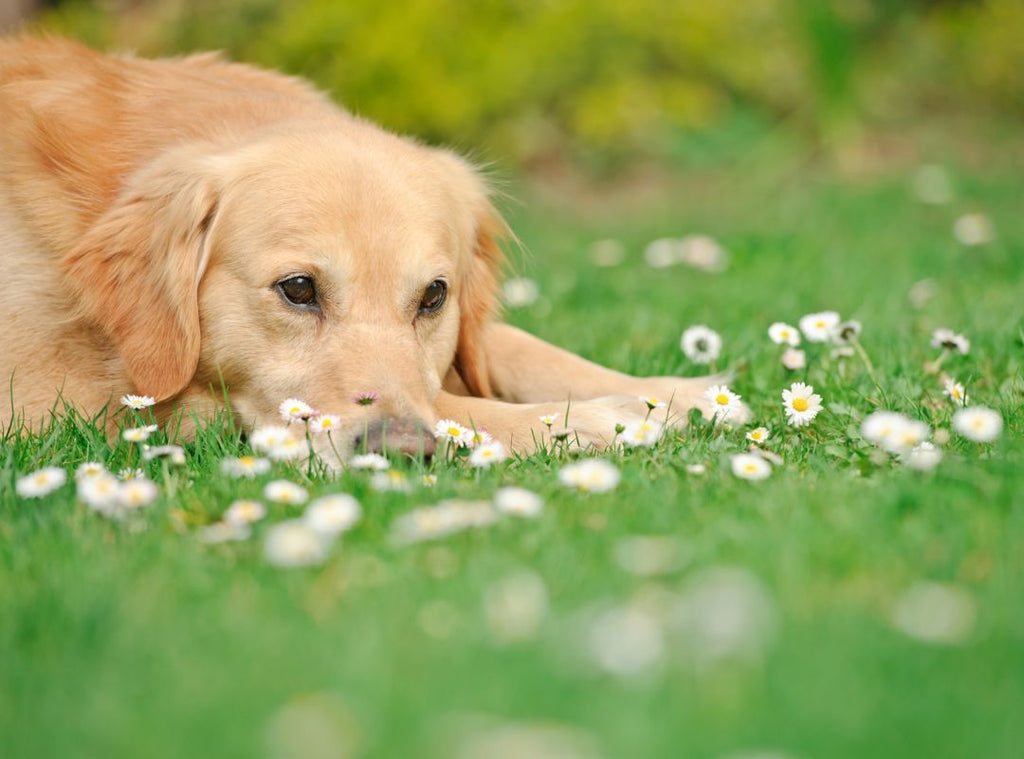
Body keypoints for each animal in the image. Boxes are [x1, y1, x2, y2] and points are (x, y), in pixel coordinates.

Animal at [0, 35, 737, 458]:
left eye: (434, 297)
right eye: (298, 289)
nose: (403, 451)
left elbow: (512, 346)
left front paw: (677, 393)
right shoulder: (62, 405)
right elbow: (456, 405)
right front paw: (587, 420)